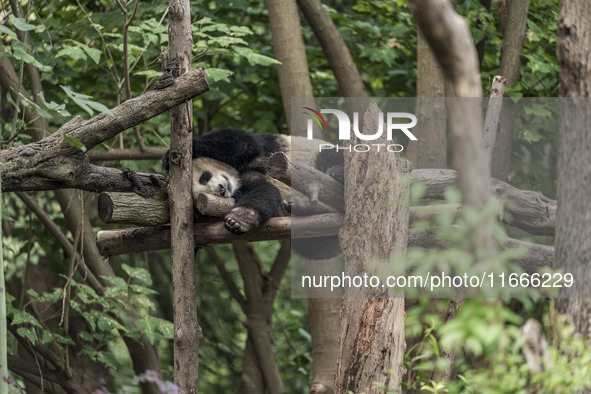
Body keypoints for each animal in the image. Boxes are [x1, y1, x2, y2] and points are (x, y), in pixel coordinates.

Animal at [164, 129, 344, 258]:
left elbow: (237, 142)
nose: (222, 190)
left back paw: (337, 173)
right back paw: (301, 207)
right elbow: (264, 190)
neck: (237, 175)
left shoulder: (256, 150)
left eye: (204, 178)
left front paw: (238, 219)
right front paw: (237, 221)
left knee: (330, 156)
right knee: (315, 246)